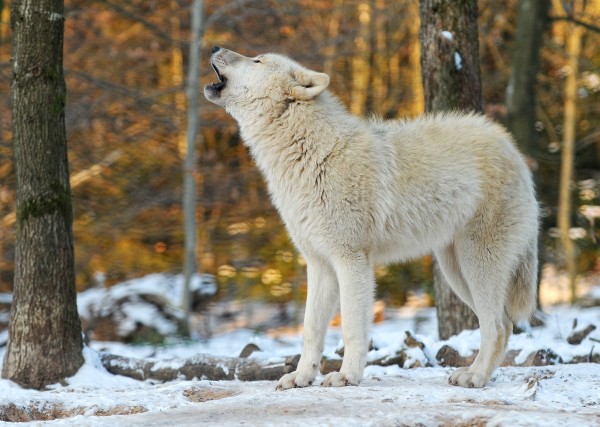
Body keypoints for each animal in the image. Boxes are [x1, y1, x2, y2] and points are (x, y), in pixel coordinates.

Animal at [205, 47, 540, 392]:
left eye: (257, 60)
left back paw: (475, 377)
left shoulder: (351, 260)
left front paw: (346, 376)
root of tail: (513, 149)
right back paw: (475, 374)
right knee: (505, 325)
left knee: (496, 326)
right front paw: (301, 377)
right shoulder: (320, 264)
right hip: (455, 271)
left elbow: (352, 328)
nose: (215, 48)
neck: (310, 153)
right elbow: (311, 329)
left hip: (475, 265)